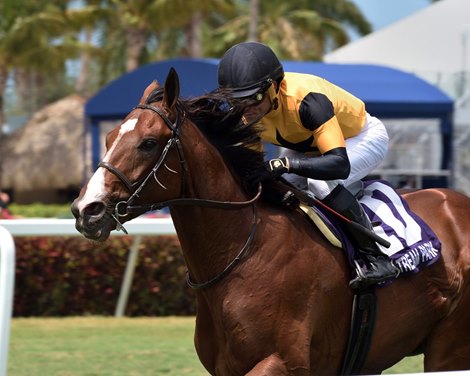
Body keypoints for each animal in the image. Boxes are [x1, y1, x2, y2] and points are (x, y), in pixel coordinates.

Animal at [71, 69, 470, 374]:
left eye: (149, 143)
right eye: (109, 137)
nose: (86, 209)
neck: (242, 252)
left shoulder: (282, 361)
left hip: (448, 348)